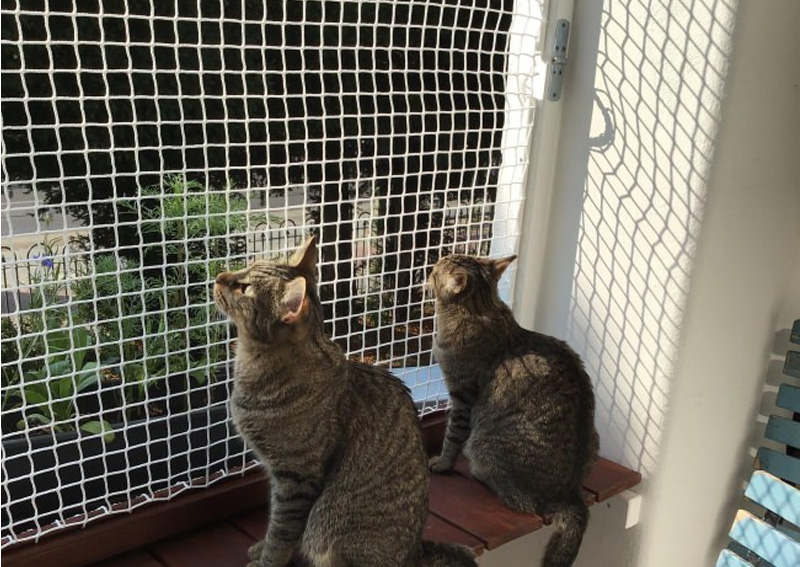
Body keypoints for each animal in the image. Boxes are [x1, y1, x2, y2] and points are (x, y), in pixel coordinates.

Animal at [214, 236, 476, 567]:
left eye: (245, 288)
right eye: (244, 268)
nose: (218, 276)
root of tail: (415, 551)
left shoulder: (296, 478)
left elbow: (282, 532)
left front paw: (266, 560)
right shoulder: (278, 476)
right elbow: (276, 521)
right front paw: (262, 548)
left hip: (327, 522)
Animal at [428, 255, 596, 567]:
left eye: (436, 270)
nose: (432, 263)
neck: (482, 309)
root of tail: (569, 494)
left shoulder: (462, 396)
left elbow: (452, 437)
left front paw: (442, 463)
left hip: (483, 443)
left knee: (521, 500)